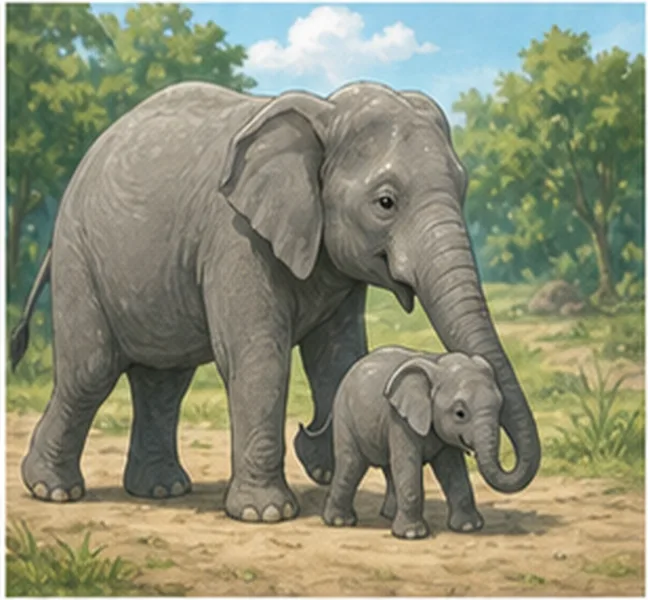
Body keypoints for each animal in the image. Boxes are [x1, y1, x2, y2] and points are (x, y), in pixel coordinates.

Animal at [323, 346, 507, 539]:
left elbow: (453, 469)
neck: (438, 365)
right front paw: (411, 535)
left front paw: (468, 527)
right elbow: (408, 464)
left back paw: (388, 515)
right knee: (351, 463)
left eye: (500, 405)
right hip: (344, 414)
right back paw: (339, 522)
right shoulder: (399, 419)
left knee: (388, 466)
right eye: (460, 413)